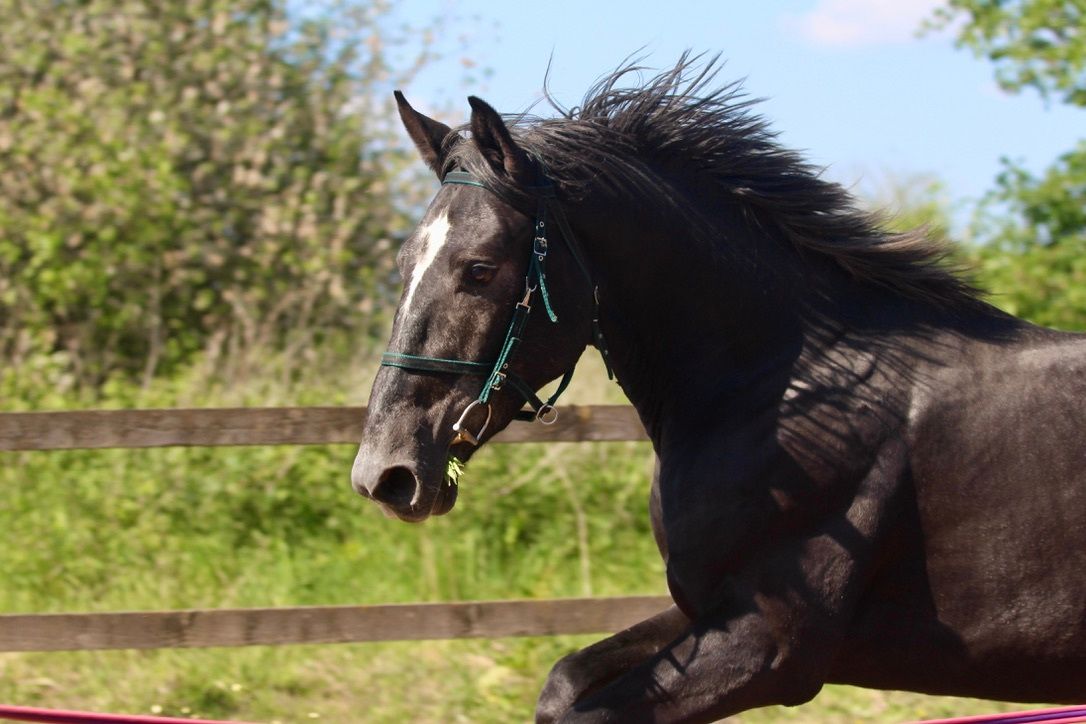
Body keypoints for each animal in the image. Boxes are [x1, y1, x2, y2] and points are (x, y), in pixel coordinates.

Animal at [350, 57, 1086, 722]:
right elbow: (562, 684)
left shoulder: (771, 648)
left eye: (479, 269)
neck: (784, 395)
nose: (384, 474)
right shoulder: (702, 608)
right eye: (404, 262)